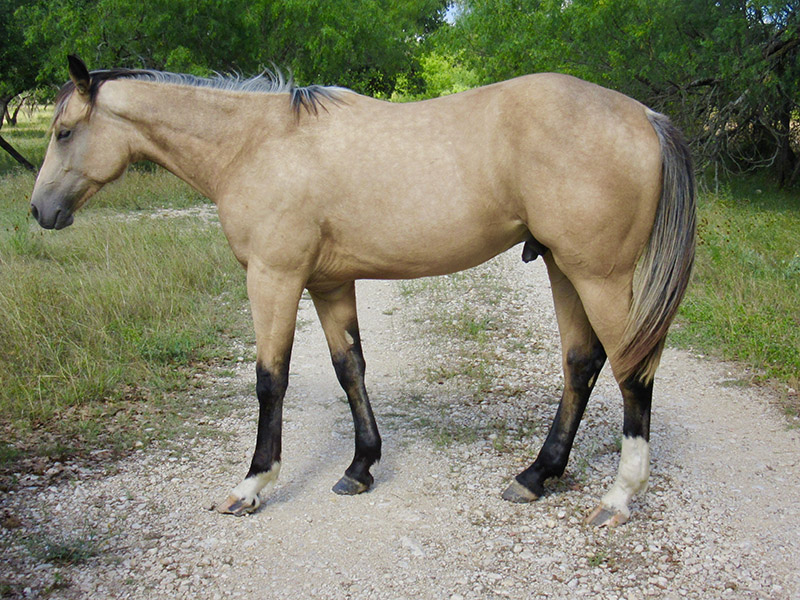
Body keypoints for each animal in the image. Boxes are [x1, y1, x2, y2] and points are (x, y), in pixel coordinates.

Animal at [31, 55, 692, 524]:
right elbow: (350, 366)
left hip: (598, 275)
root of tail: (645, 116)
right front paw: (361, 466)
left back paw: (619, 497)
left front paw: (252, 486)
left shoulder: (273, 277)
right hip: (562, 266)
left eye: (63, 132)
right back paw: (535, 476)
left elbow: (270, 379)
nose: (41, 211)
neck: (254, 145)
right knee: (582, 363)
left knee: (631, 370)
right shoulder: (329, 282)